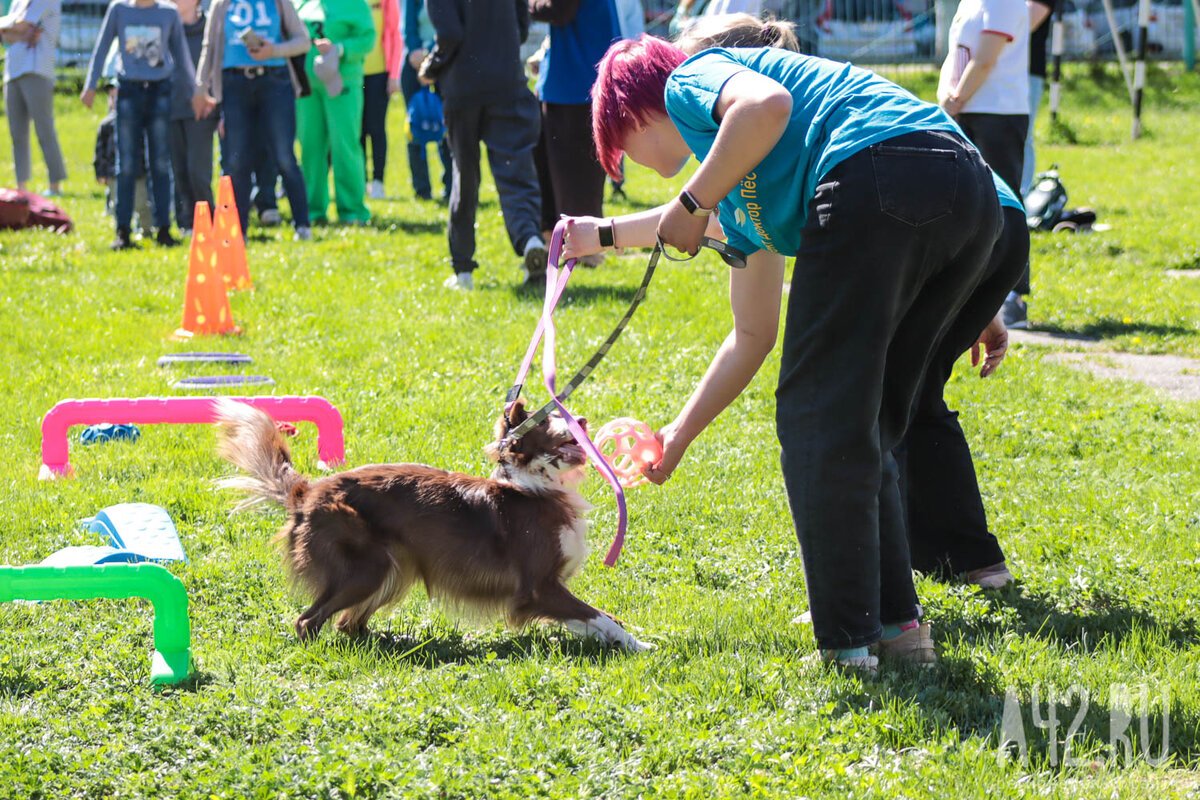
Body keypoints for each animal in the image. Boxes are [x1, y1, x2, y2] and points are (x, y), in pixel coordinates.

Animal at [216, 398, 648, 652]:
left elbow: (598, 618)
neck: (534, 486)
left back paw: (399, 640)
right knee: (309, 621)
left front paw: (626, 642)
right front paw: (638, 646)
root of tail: (305, 493)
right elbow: (597, 615)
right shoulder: (539, 587)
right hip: (368, 567)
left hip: (396, 567)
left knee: (348, 623)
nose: (583, 420)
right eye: (549, 421)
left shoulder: (548, 589)